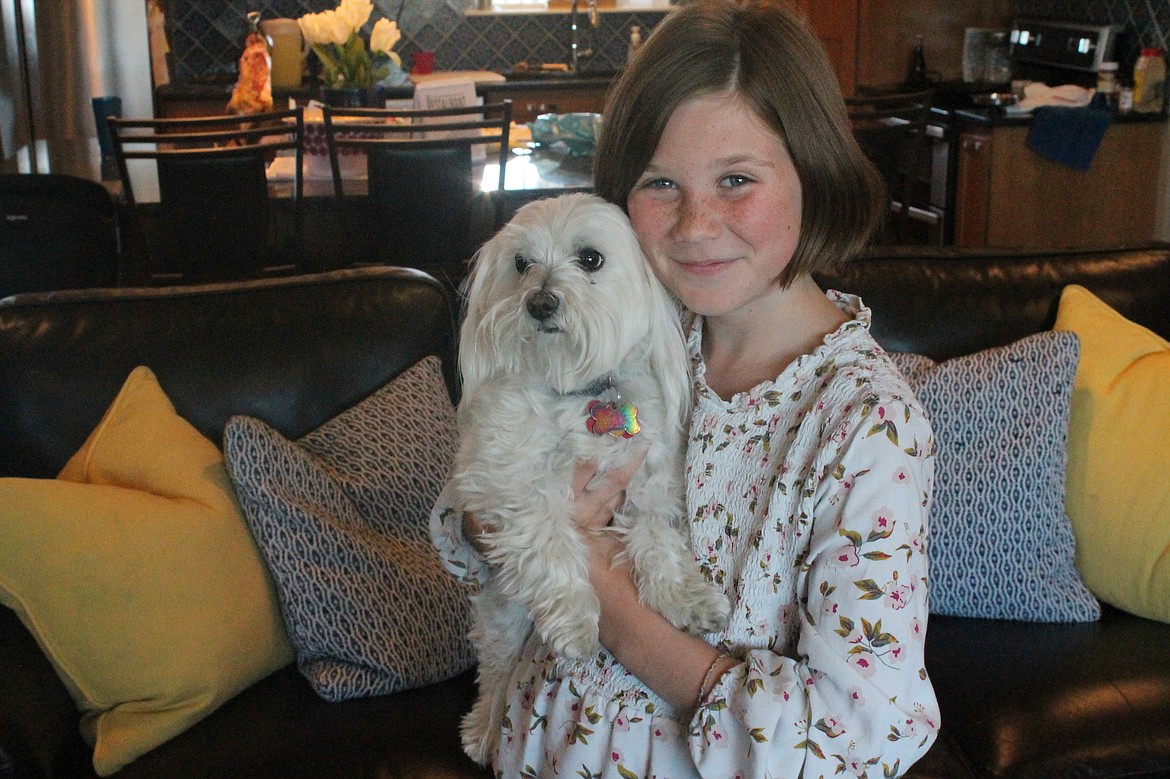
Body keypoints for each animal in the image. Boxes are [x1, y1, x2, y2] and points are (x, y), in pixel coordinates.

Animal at [451, 190, 725, 762]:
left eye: (591, 259)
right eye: (521, 264)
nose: (539, 302)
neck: (577, 392)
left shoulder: (649, 475)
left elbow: (657, 537)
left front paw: (685, 597)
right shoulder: (507, 482)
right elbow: (549, 543)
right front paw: (576, 619)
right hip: (501, 615)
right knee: (497, 672)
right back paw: (484, 729)